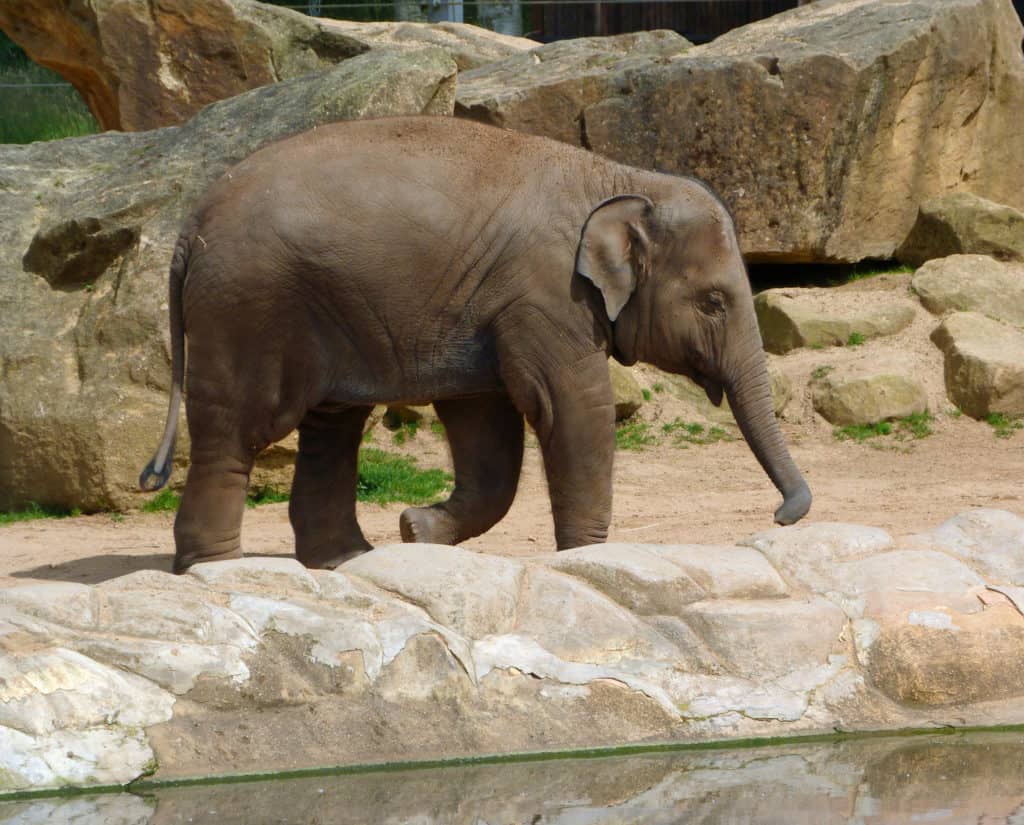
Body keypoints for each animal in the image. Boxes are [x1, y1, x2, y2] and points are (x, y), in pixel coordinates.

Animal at [140, 115, 811, 573]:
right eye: (713, 303)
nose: (782, 516)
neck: (622, 176)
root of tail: (189, 228)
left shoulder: (486, 307)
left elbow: (486, 428)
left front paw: (416, 531)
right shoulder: (546, 295)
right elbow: (571, 407)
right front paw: (585, 560)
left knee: (332, 428)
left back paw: (347, 560)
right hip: (248, 311)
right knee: (237, 430)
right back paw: (216, 568)